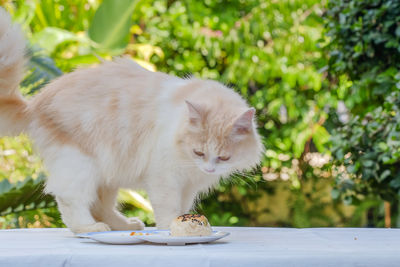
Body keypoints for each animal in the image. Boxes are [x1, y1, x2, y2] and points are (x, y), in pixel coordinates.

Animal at [0, 8, 264, 234]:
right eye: (199, 152)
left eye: (223, 158)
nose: (209, 168)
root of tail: (34, 104)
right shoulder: (165, 178)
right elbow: (168, 209)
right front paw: (169, 230)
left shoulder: (188, 185)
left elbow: (182, 208)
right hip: (80, 166)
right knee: (70, 200)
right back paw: (90, 229)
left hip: (106, 175)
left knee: (101, 206)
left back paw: (124, 225)